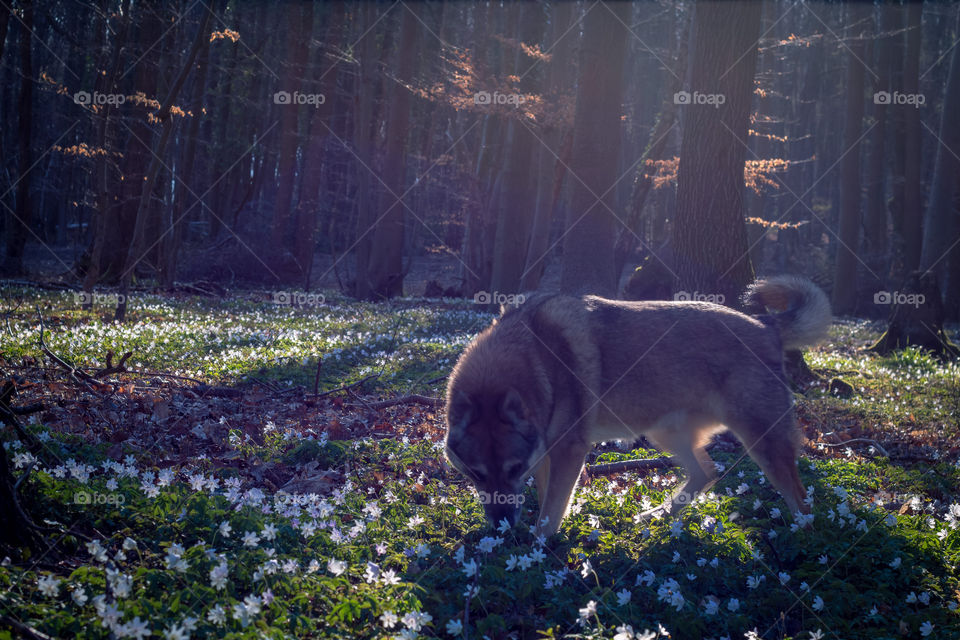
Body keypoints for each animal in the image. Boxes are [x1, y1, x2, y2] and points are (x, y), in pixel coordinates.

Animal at [446, 276, 828, 536]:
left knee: (802, 501)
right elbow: (546, 501)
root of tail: (766, 326)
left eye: (513, 469)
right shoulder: (545, 453)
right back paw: (657, 516)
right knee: (707, 473)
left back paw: (801, 539)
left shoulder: (568, 451)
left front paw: (538, 549)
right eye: (476, 474)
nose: (501, 528)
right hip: (665, 433)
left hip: (762, 442)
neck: (536, 355)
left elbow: (549, 514)